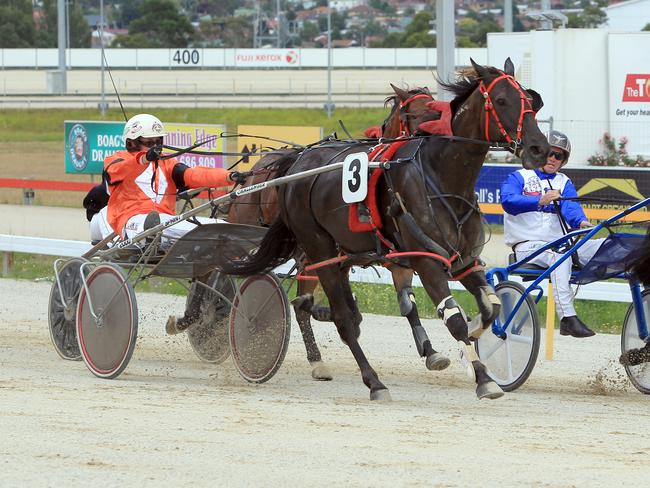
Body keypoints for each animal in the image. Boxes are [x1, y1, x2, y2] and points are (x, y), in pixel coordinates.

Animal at [221, 58, 548, 400]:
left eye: (530, 101)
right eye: (501, 100)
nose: (539, 148)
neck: (441, 178)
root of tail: (296, 162)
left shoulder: (462, 262)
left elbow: (490, 308)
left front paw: (470, 343)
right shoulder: (425, 260)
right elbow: (453, 318)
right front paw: (483, 378)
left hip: (335, 255)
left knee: (326, 309)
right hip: (318, 250)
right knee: (340, 319)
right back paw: (373, 381)